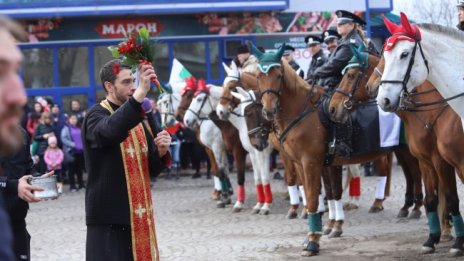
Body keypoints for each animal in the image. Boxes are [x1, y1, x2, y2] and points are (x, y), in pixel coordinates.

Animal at [330, 48, 464, 254]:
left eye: (351, 75)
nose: (333, 108)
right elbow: (432, 197)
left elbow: (449, 197)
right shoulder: (426, 160)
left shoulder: (441, 161)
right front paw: (434, 237)